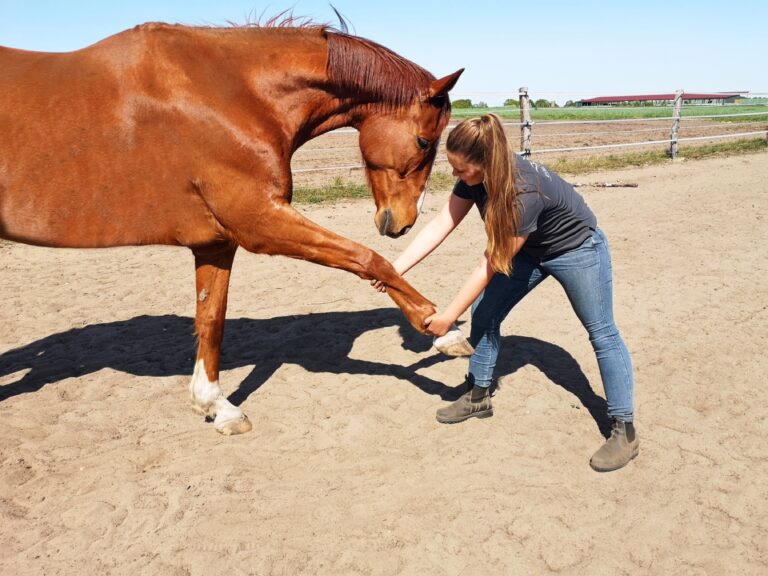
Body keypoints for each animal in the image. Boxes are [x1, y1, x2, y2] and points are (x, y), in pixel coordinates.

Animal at [0, 23, 462, 436]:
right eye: (424, 141)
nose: (402, 222)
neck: (234, 96)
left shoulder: (216, 244)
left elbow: (211, 319)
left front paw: (215, 406)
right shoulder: (261, 222)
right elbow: (368, 259)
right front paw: (441, 328)